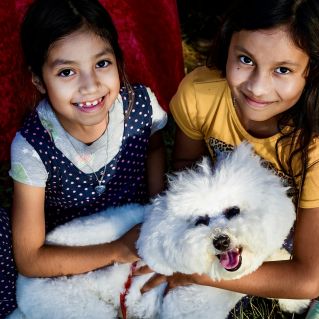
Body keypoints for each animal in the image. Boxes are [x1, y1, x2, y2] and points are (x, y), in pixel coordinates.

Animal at [9, 143, 310, 319]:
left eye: (233, 211)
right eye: (200, 221)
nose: (221, 241)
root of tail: (21, 286)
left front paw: (292, 301)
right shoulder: (184, 310)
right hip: (78, 308)